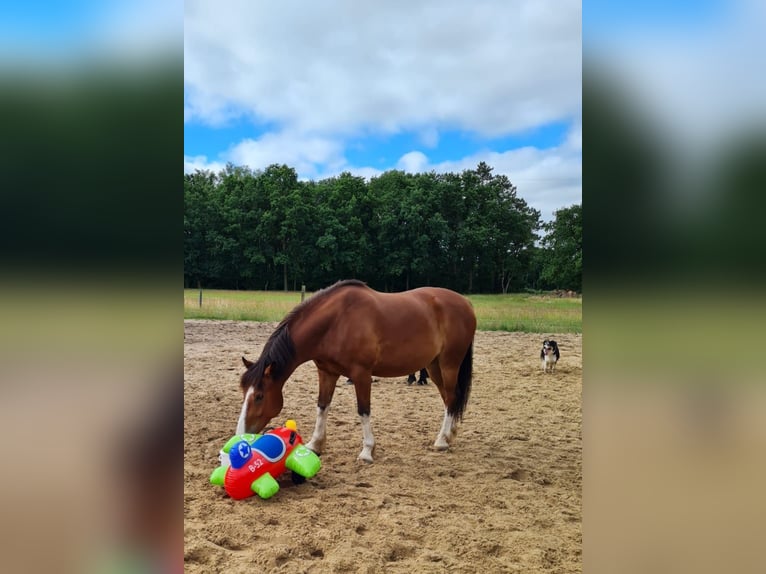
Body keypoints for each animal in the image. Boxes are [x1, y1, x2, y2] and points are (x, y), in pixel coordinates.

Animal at [237, 282, 476, 466]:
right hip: (434, 366)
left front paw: (367, 451)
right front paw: (315, 444)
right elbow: (322, 406)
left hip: (449, 363)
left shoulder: (361, 374)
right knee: (449, 398)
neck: (336, 322)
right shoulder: (326, 372)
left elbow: (363, 410)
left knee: (451, 397)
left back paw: (442, 441)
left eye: (259, 396)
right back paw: (450, 434)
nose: (241, 434)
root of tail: (466, 303)